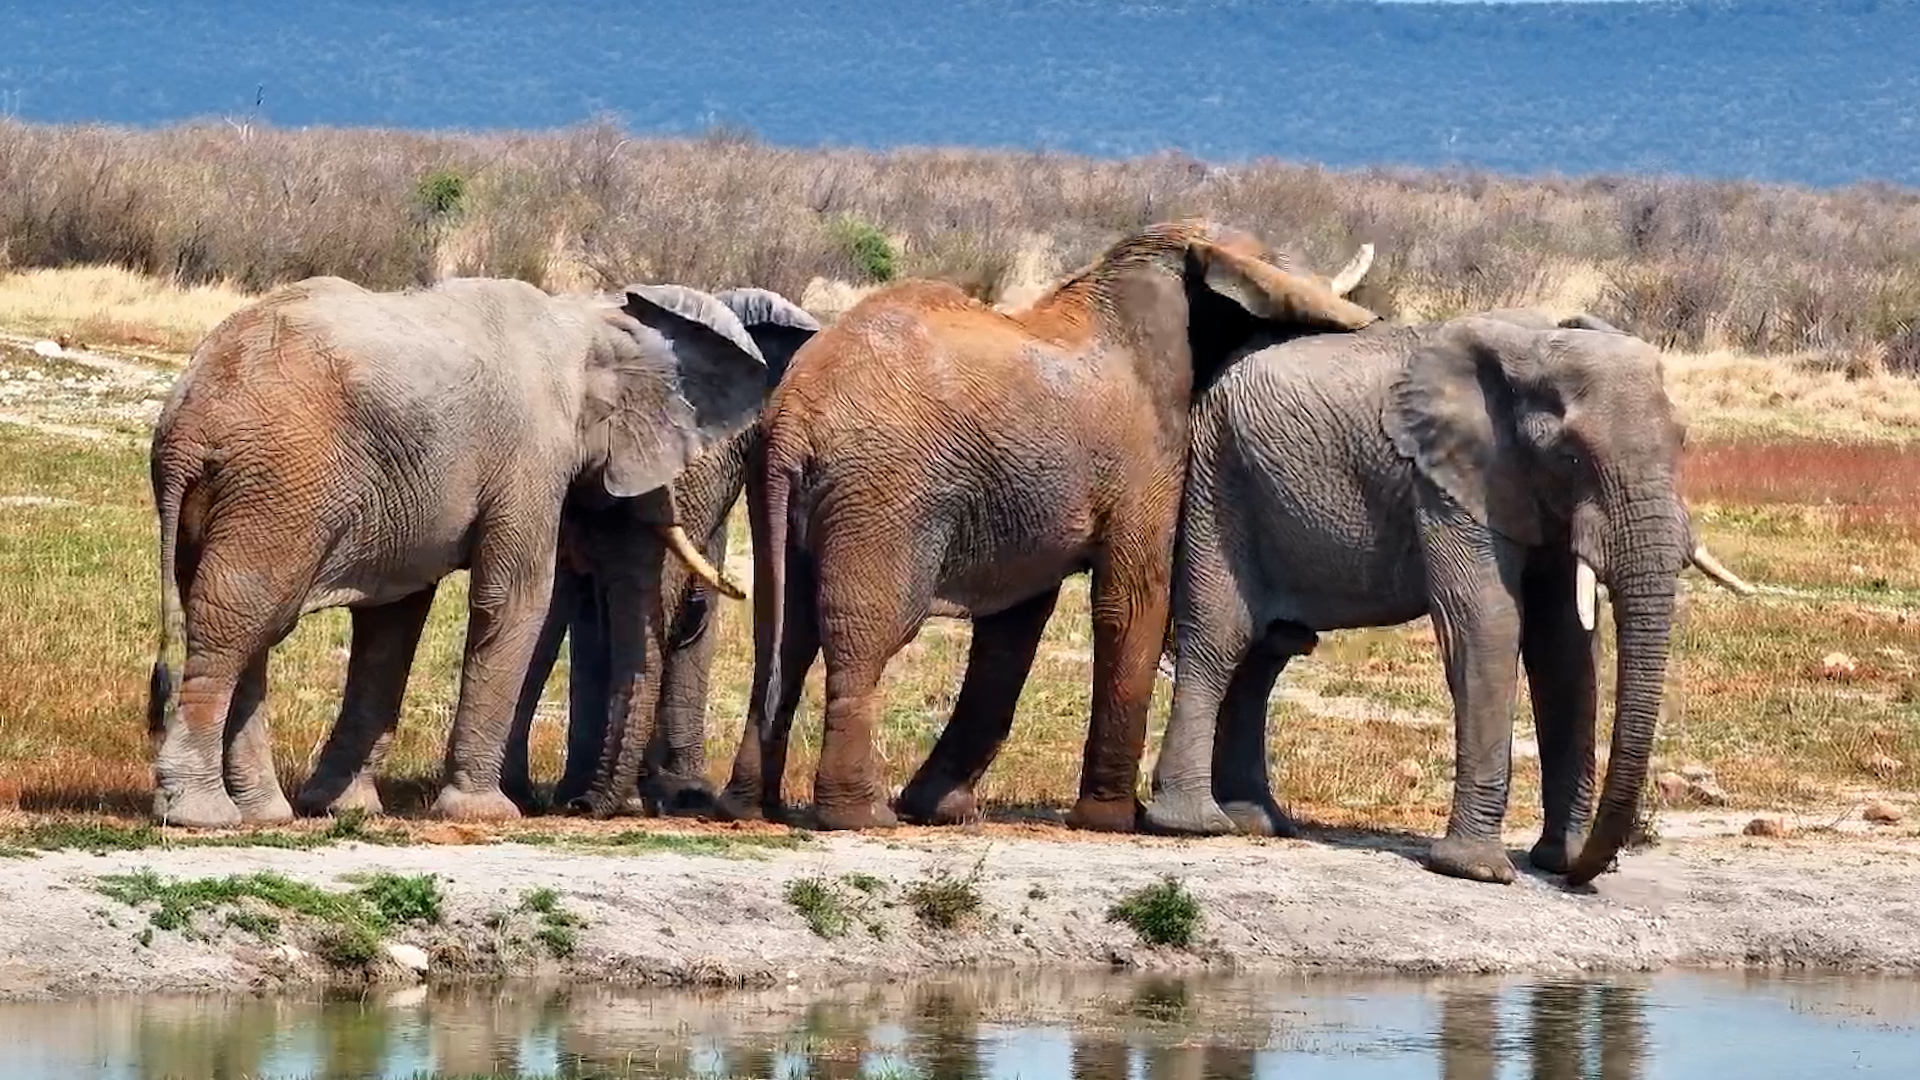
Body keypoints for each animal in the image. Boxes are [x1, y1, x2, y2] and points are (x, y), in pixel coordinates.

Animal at [145, 275, 767, 827]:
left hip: (243, 495)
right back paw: (201, 815)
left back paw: (264, 815)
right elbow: (516, 598)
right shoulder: (530, 454)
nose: (578, 808)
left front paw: (346, 809)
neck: (584, 321)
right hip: (279, 486)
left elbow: (392, 623)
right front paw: (485, 813)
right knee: (239, 621)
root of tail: (185, 419)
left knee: (245, 624)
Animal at [719, 218, 1381, 832]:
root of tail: (794, 417)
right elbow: (1132, 602)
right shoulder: (1144, 457)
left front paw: (944, 811)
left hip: (785, 492)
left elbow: (1015, 627)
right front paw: (1113, 821)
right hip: (884, 496)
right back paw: (861, 817)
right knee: (862, 637)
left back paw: (751, 807)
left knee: (784, 634)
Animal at [1139, 308, 1755, 883]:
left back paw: (1257, 822)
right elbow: (1488, 623)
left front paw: (1558, 859)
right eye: (1571, 456)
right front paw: (1479, 871)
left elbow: (1564, 645)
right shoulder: (1447, 483)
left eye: (1682, 440)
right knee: (1221, 637)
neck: (1535, 347)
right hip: (1217, 479)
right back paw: (1195, 824)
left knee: (1269, 651)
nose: (1583, 873)